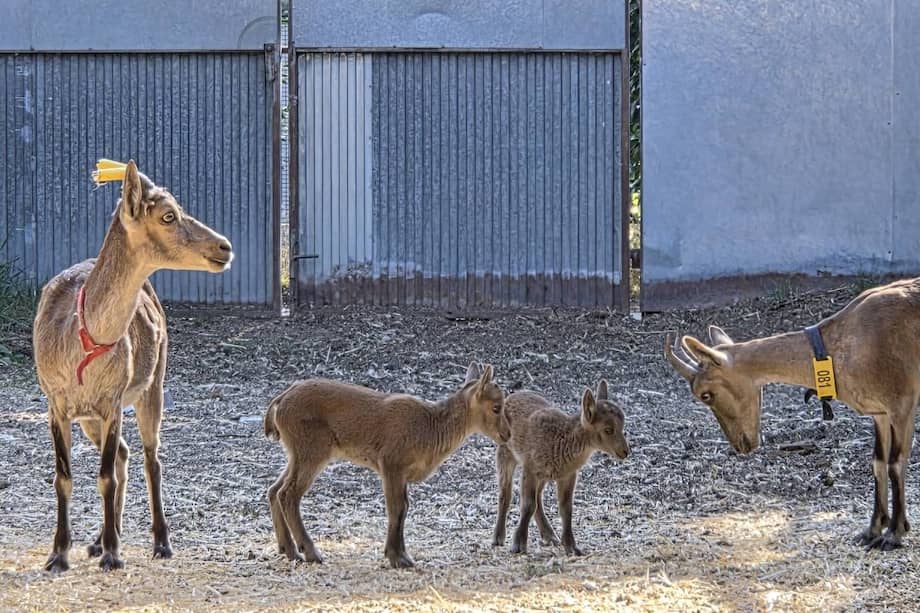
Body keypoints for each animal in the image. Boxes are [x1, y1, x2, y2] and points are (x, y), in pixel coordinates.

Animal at [33, 161, 233, 571]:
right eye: (168, 214)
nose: (224, 247)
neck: (82, 343)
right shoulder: (55, 402)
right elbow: (64, 476)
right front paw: (58, 554)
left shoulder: (113, 399)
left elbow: (105, 476)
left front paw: (113, 554)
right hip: (90, 417)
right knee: (125, 453)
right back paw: (98, 539)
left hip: (153, 385)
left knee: (149, 458)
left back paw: (159, 542)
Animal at [264, 363, 510, 568]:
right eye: (496, 407)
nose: (507, 434)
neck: (428, 428)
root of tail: (279, 402)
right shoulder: (391, 464)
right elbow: (396, 508)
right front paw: (396, 558)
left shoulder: (402, 475)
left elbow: (404, 508)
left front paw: (402, 554)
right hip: (312, 451)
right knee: (288, 494)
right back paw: (311, 553)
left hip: (296, 453)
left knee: (274, 490)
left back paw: (289, 550)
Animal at [492, 381, 629, 556]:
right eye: (608, 429)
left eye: (622, 426)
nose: (625, 452)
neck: (561, 440)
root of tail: (511, 396)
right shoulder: (530, 468)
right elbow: (528, 505)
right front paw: (518, 545)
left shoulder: (568, 475)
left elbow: (566, 508)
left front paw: (572, 547)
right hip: (505, 452)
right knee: (505, 493)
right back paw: (498, 538)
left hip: (544, 475)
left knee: (538, 498)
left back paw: (550, 536)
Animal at [664, 277, 920, 550]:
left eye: (705, 394)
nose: (741, 445)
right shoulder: (879, 412)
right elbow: (878, 462)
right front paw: (872, 530)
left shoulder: (902, 403)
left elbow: (895, 463)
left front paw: (895, 534)